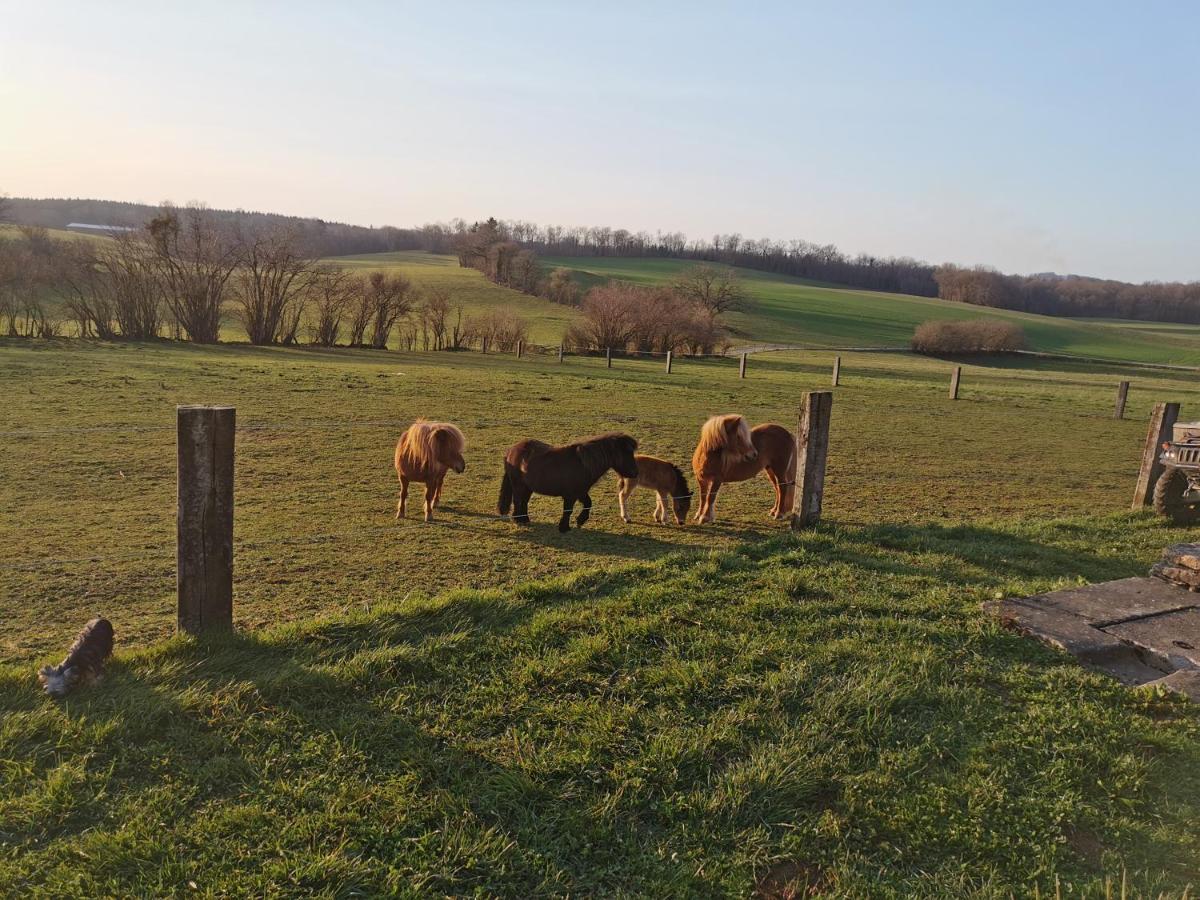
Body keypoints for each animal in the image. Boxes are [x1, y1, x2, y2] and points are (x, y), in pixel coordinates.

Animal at [499, 434, 643, 532]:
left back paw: (525, 519)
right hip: (518, 486)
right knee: (518, 501)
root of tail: (511, 451)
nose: (636, 473)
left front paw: (580, 521)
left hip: (527, 488)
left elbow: (588, 504)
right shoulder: (570, 495)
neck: (583, 465)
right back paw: (518, 519)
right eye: (626, 453)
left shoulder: (581, 492)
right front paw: (564, 527)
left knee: (523, 502)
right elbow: (568, 510)